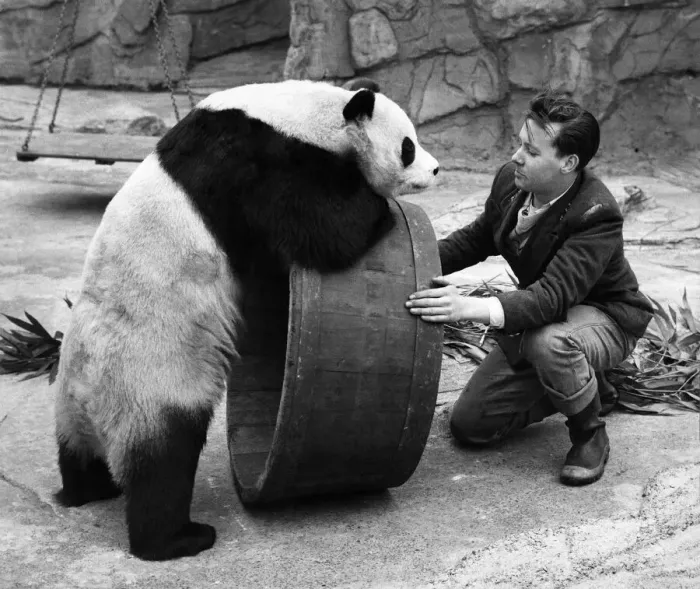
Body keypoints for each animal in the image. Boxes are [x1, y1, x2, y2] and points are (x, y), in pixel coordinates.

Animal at [53, 79, 439, 561]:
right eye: (408, 146)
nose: (436, 169)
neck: (300, 113)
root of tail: (88, 400)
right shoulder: (255, 164)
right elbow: (325, 231)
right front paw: (378, 207)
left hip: (74, 395)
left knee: (77, 453)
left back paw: (85, 490)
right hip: (148, 379)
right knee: (163, 459)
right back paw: (179, 538)